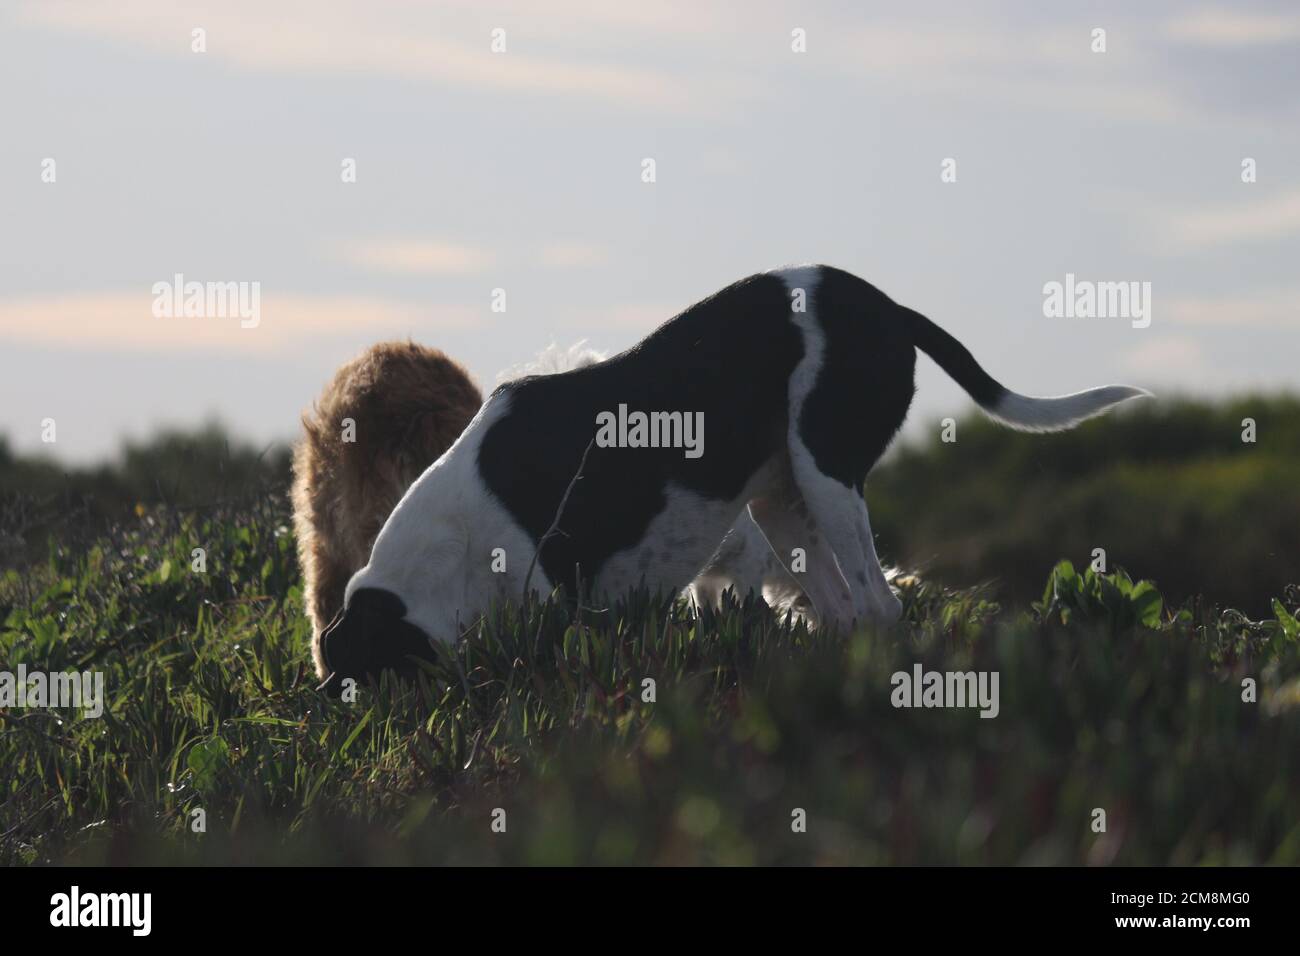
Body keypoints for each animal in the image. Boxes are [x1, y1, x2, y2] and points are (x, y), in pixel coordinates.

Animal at [322, 265, 1149, 691]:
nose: (333, 706)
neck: (451, 548)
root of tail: (891, 306)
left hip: (825, 475)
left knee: (878, 607)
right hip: (784, 502)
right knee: (844, 613)